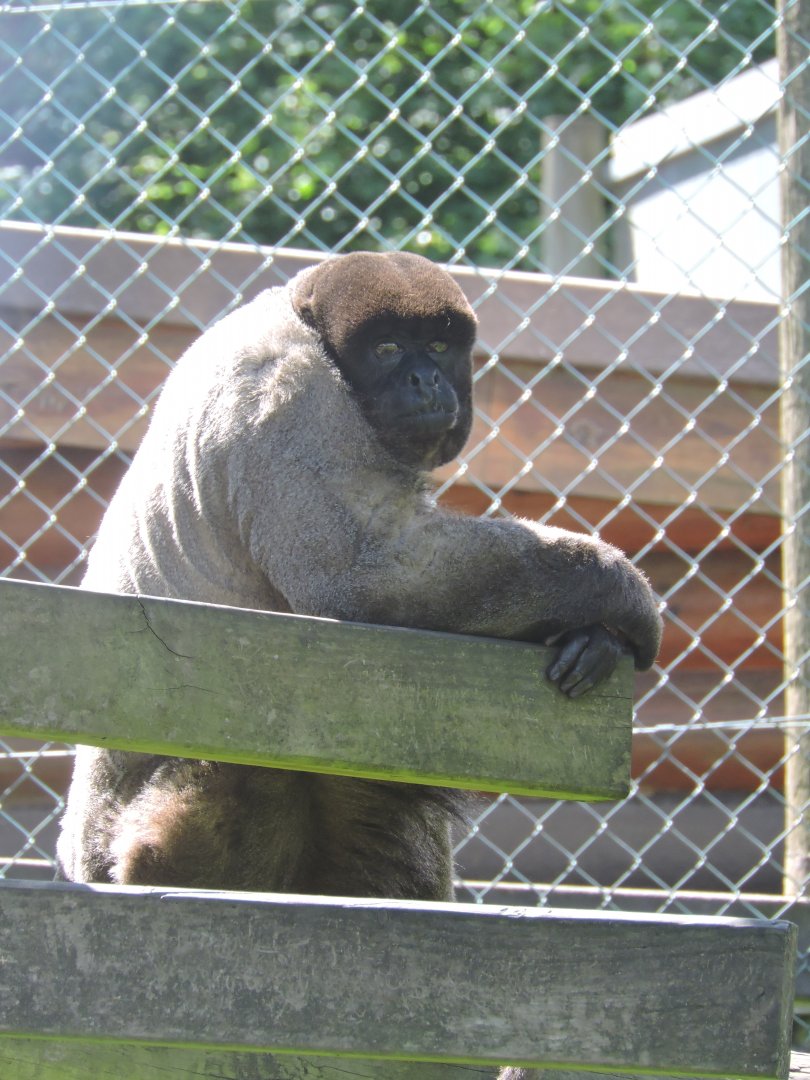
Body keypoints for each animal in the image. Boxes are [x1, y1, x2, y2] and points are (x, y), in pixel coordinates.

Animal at [56, 251, 661, 904]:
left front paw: (596, 638)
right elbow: (360, 574)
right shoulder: (287, 395)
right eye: (388, 348)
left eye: (439, 346)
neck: (302, 315)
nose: (426, 380)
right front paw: (618, 595)